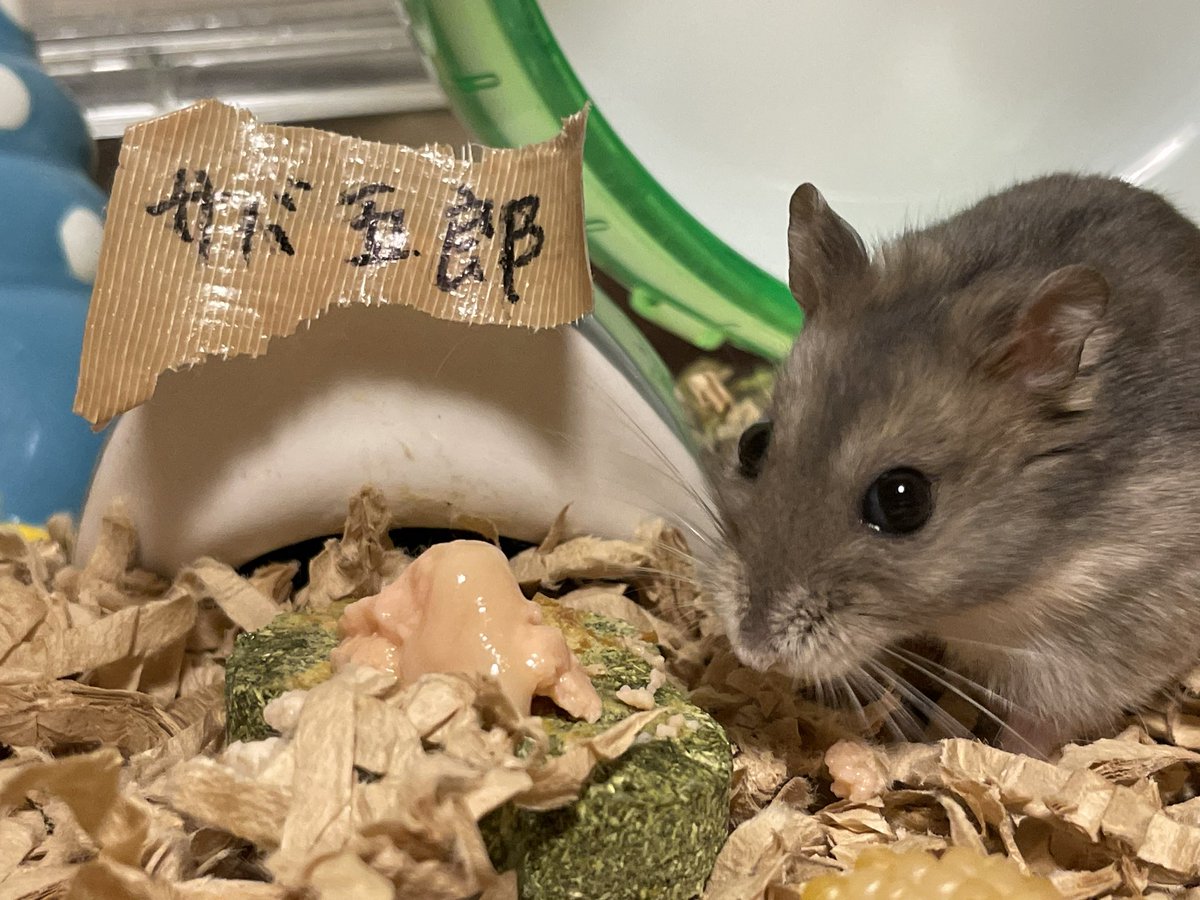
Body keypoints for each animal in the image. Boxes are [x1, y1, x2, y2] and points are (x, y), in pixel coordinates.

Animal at [710, 173, 1200, 752]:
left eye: (902, 500)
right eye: (752, 443)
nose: (750, 651)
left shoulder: (1096, 642)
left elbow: (1038, 730)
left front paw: (988, 754)